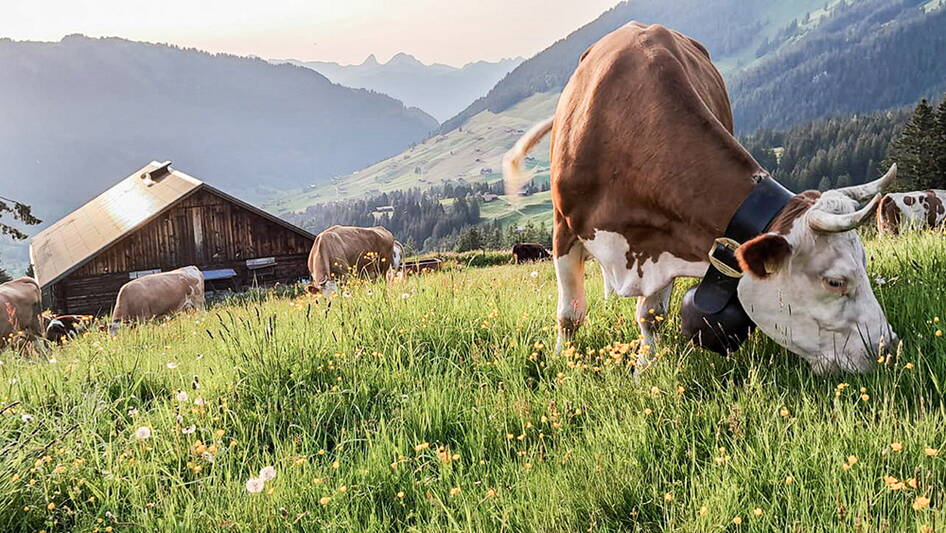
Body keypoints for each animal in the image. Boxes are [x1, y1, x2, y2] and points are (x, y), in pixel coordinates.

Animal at [502, 22, 892, 374]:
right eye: (835, 282)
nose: (888, 348)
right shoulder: (564, 229)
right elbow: (569, 314)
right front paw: (562, 362)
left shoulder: (665, 237)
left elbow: (651, 315)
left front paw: (645, 371)